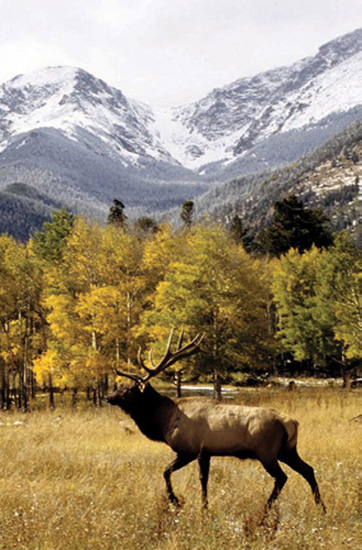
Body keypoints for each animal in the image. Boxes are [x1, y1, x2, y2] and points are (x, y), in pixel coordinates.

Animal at [106, 330, 326, 516]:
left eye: (127, 389)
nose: (109, 397)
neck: (164, 421)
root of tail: (292, 423)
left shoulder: (190, 450)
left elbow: (169, 472)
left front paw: (179, 502)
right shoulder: (207, 452)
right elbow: (204, 480)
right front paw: (203, 506)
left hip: (267, 452)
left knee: (282, 477)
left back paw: (266, 509)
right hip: (288, 451)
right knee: (308, 470)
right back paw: (321, 508)